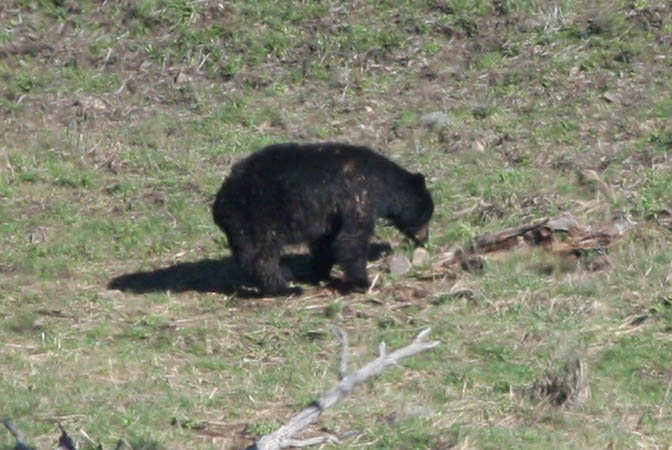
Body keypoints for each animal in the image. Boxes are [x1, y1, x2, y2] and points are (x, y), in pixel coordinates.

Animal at [215, 142, 436, 296]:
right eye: (426, 216)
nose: (424, 240)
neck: (383, 183)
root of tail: (220, 204)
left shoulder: (330, 214)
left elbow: (325, 241)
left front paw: (319, 273)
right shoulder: (359, 195)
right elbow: (352, 239)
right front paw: (362, 282)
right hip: (260, 214)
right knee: (263, 254)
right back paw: (284, 288)